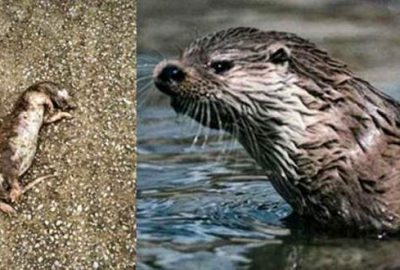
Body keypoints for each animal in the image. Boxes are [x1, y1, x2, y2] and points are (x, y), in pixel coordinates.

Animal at [0, 81, 76, 214]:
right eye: (67, 93)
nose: (74, 105)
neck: (39, 88)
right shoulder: (34, 97)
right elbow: (45, 100)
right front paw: (52, 106)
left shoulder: (45, 116)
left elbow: (51, 117)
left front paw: (66, 114)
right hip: (8, 164)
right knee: (13, 181)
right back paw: (13, 198)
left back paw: (10, 205)